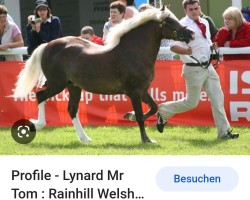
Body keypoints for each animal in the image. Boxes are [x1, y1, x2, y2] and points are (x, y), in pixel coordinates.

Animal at [13, 6, 193, 143]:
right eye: (170, 21)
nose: (190, 34)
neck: (134, 51)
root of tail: (47, 45)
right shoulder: (134, 92)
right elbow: (141, 116)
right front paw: (146, 139)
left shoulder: (143, 90)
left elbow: (154, 107)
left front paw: (129, 116)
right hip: (57, 84)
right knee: (40, 96)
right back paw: (38, 124)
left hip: (73, 86)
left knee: (71, 109)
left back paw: (85, 138)